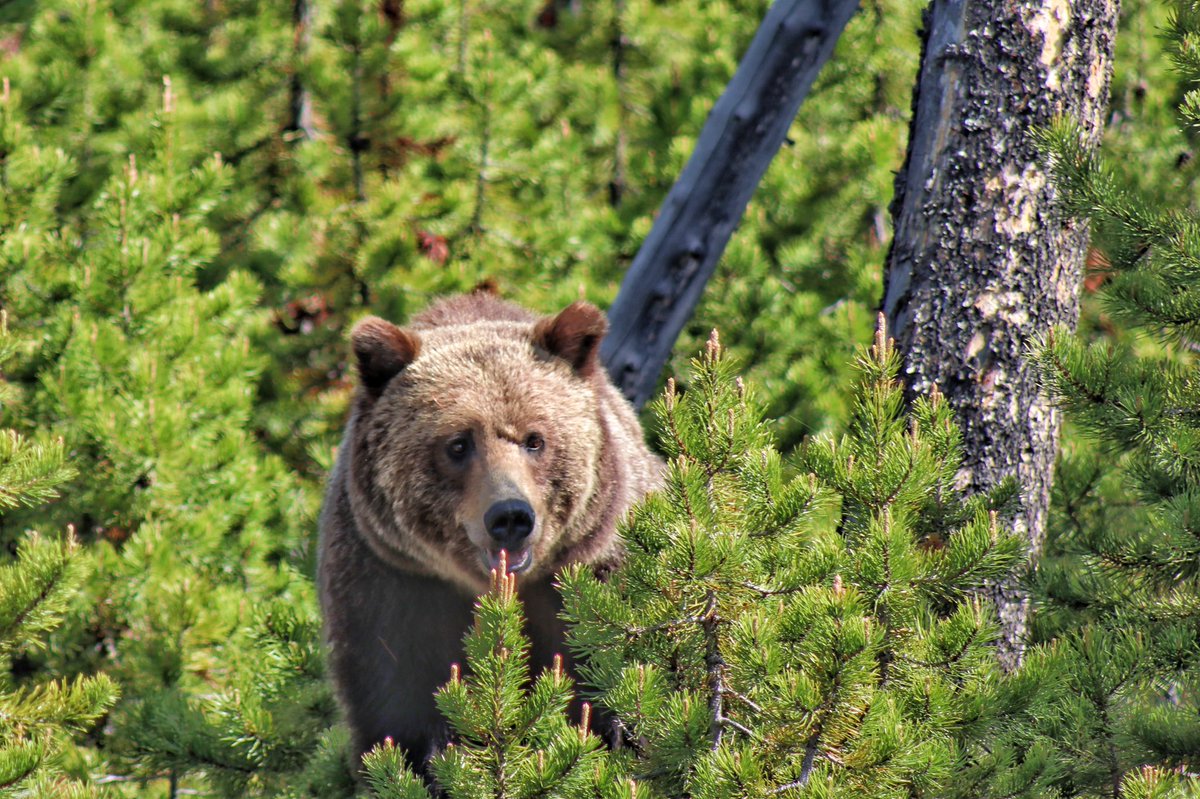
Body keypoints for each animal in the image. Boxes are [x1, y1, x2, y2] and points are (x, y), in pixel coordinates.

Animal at [317, 291, 663, 773]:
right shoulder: (391, 579)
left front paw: (615, 731)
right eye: (458, 444)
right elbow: (392, 694)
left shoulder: (594, 562)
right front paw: (424, 761)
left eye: (535, 439)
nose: (510, 516)